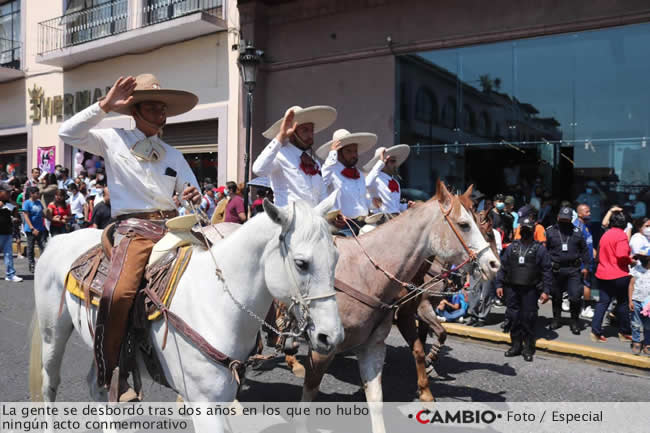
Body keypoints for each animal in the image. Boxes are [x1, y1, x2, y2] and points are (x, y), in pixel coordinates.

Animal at [30, 200, 344, 432]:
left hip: (105, 342)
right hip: (53, 333)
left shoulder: (223, 398)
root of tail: (59, 238)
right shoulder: (205, 406)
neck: (216, 305)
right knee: (50, 383)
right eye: (301, 263)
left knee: (96, 385)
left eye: (337, 259)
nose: (332, 336)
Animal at [296, 181, 498, 432]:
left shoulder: (407, 317)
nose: (494, 265)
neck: (364, 272)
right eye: (464, 225)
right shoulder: (407, 315)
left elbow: (422, 345)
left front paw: (427, 385)